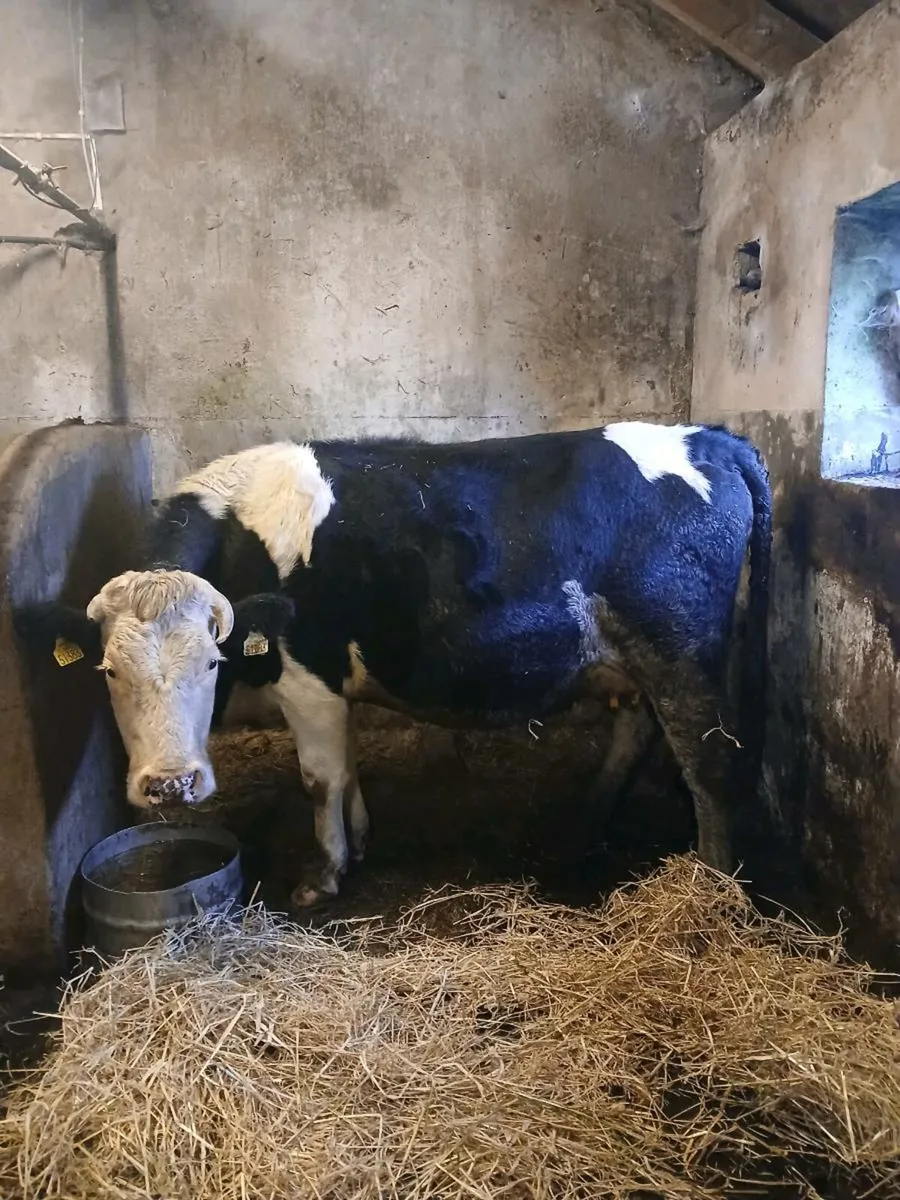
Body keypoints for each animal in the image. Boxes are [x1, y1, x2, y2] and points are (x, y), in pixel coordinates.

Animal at [17, 423, 771, 907]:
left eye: (211, 661)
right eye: (109, 672)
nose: (171, 785)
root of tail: (714, 438)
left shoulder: (309, 679)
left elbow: (319, 777)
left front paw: (323, 876)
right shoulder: (334, 692)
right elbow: (348, 769)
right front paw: (359, 840)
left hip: (681, 650)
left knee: (710, 764)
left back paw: (713, 889)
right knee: (636, 738)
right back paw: (584, 830)